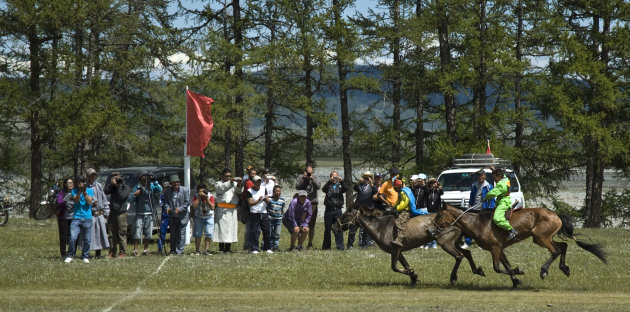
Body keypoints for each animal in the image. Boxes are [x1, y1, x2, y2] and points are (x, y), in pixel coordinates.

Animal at [334, 206, 486, 286]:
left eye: (346, 214)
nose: (334, 227)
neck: (380, 227)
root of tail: (457, 219)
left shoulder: (395, 249)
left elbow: (394, 267)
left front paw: (412, 274)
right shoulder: (398, 250)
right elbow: (404, 264)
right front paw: (414, 276)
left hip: (446, 243)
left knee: (459, 256)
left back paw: (453, 278)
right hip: (453, 242)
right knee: (467, 253)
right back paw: (477, 270)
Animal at [432, 204, 608, 288]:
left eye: (439, 214)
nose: (430, 230)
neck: (478, 223)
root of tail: (555, 214)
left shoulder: (495, 249)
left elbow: (498, 268)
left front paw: (518, 271)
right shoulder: (499, 249)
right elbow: (506, 265)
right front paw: (516, 281)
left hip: (542, 238)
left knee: (556, 251)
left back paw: (544, 270)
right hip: (541, 238)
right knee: (563, 246)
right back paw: (564, 268)